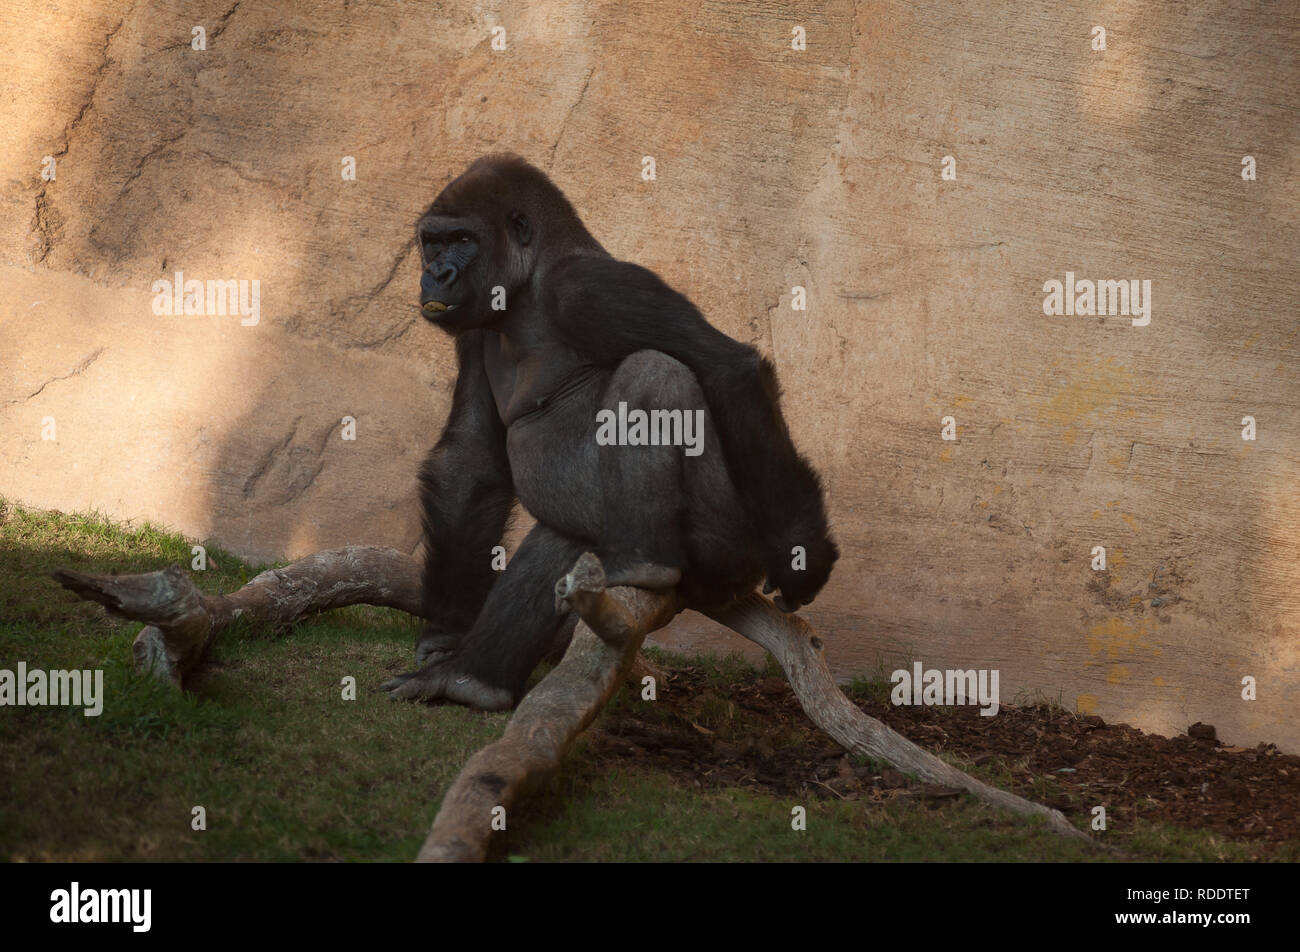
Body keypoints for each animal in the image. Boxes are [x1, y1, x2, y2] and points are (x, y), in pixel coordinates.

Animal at [379, 154, 837, 707]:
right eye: (433, 242)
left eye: (464, 240)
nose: (436, 274)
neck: (531, 281)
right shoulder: (473, 327)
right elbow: (469, 464)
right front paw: (445, 629)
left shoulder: (590, 287)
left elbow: (728, 368)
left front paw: (802, 553)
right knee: (562, 536)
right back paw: (471, 679)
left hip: (734, 545)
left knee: (652, 373)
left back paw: (643, 562)